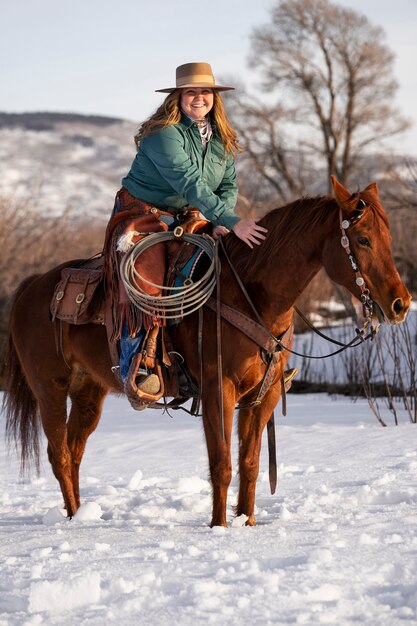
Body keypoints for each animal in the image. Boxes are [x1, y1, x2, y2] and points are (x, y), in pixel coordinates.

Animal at [0, 178, 410, 524]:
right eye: (362, 239)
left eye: (389, 238)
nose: (400, 304)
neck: (251, 294)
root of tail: (32, 286)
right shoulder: (218, 389)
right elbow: (222, 464)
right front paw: (219, 526)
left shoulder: (264, 395)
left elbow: (249, 463)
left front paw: (247, 522)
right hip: (50, 389)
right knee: (58, 454)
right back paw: (72, 520)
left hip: (89, 391)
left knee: (74, 451)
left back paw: (83, 516)